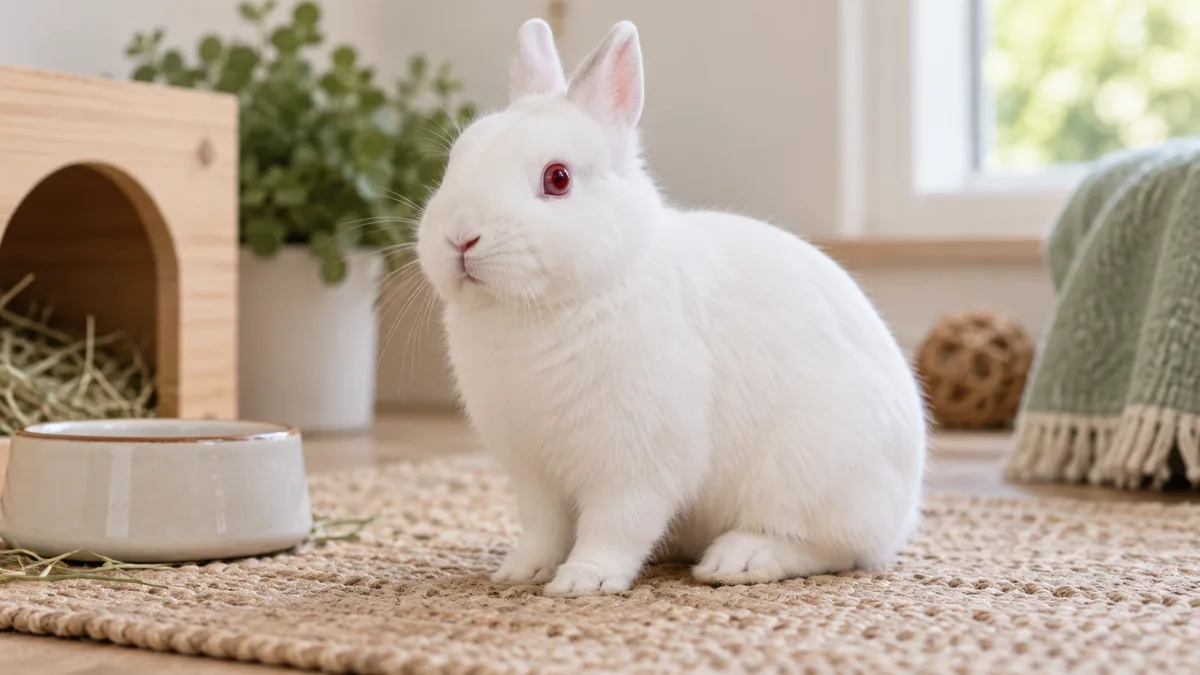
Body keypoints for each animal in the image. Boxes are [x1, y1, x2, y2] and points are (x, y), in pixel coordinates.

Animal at [414, 17, 928, 597]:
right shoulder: (535, 473)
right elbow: (543, 527)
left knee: (830, 547)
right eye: (456, 160)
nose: (461, 237)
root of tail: (905, 510)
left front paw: (584, 581)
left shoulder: (636, 461)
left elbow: (616, 525)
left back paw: (737, 560)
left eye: (558, 178)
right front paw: (520, 572)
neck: (547, 307)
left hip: (810, 474)